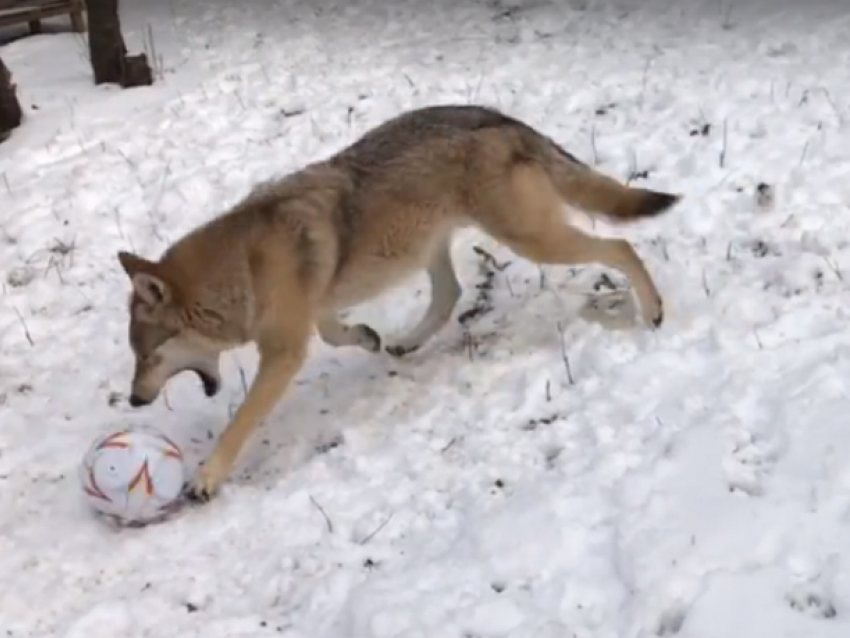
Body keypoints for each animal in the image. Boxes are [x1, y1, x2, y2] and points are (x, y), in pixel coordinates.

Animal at [116, 105, 680, 504]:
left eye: (147, 356)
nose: (135, 402)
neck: (240, 270)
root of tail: (504, 120)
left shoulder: (283, 352)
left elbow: (240, 422)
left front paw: (206, 478)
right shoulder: (314, 312)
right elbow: (335, 331)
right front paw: (367, 337)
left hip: (532, 240)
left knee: (620, 246)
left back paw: (652, 311)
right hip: (433, 247)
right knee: (450, 295)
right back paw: (405, 343)